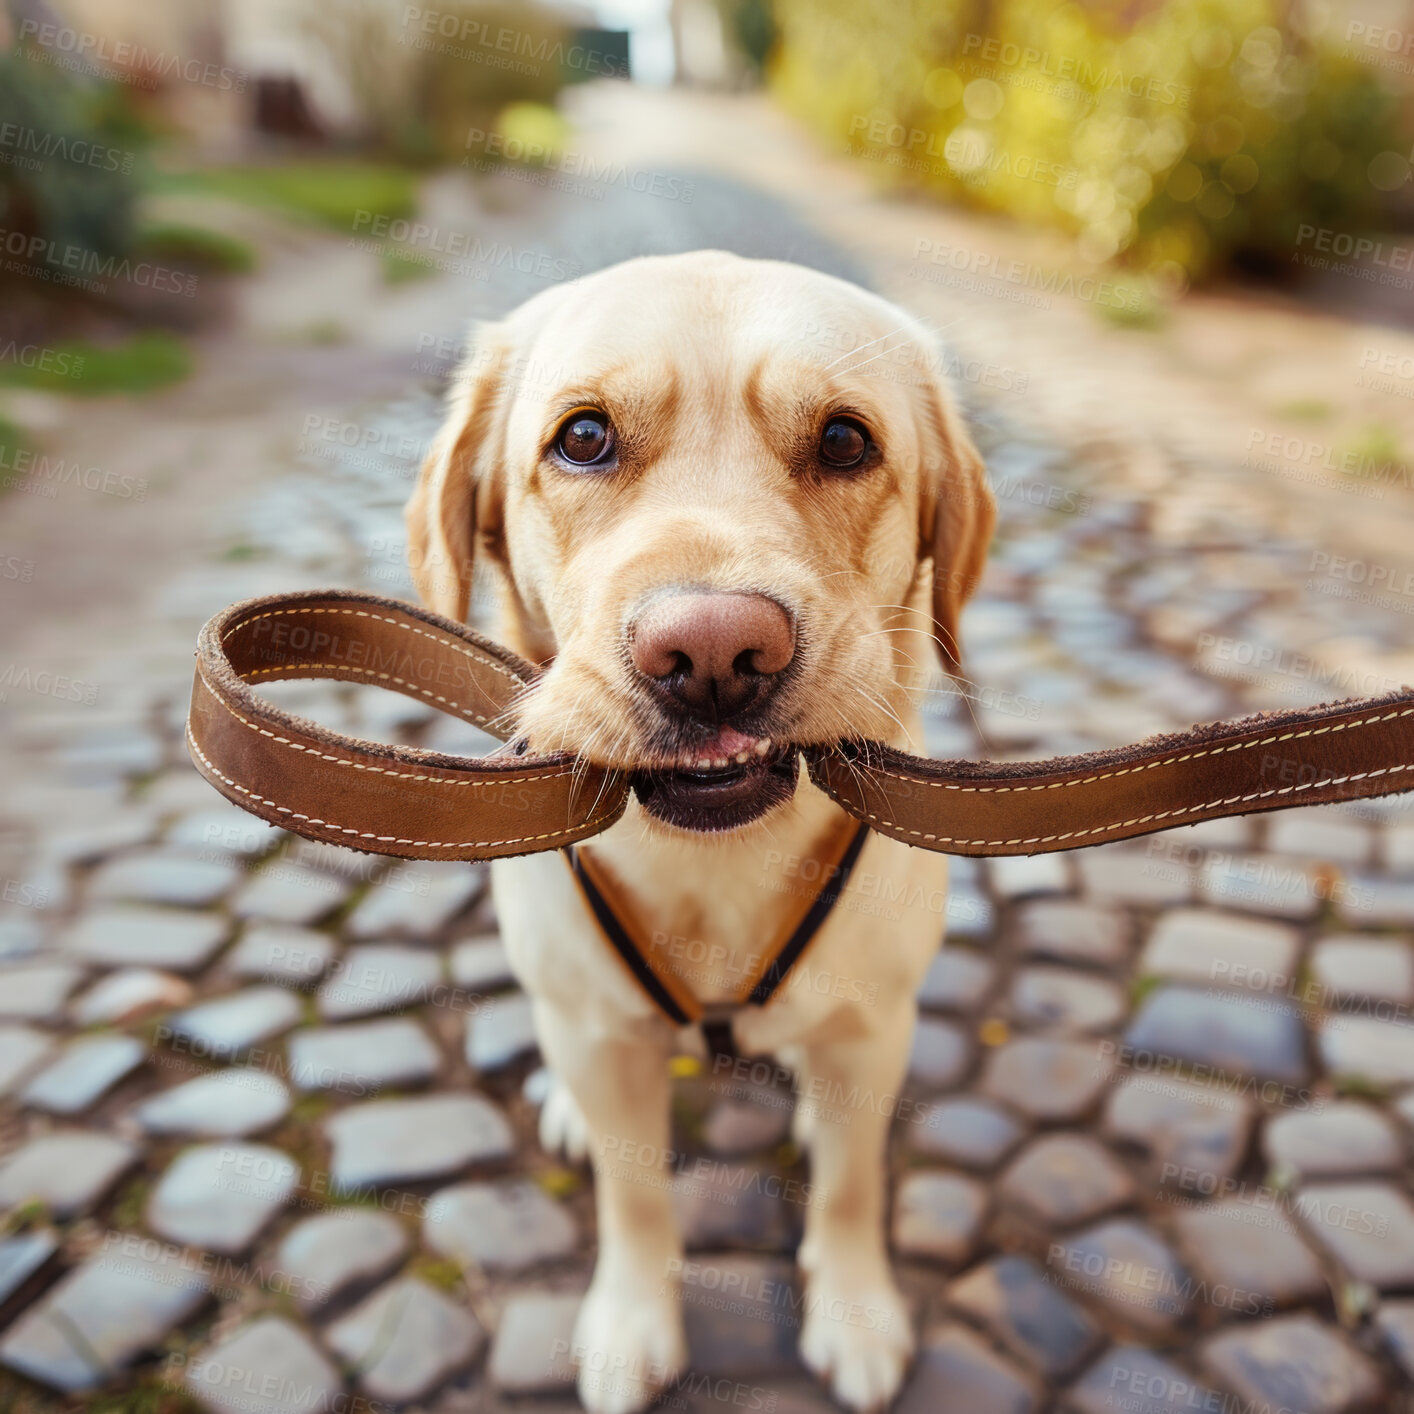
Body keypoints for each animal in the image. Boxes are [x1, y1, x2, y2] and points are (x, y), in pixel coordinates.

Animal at [404, 248, 989, 1408]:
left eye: (845, 441)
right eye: (584, 436)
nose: (715, 653)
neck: (717, 862)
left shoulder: (872, 1028)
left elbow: (850, 1186)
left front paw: (855, 1310)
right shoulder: (596, 1034)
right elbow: (634, 1198)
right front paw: (633, 1323)